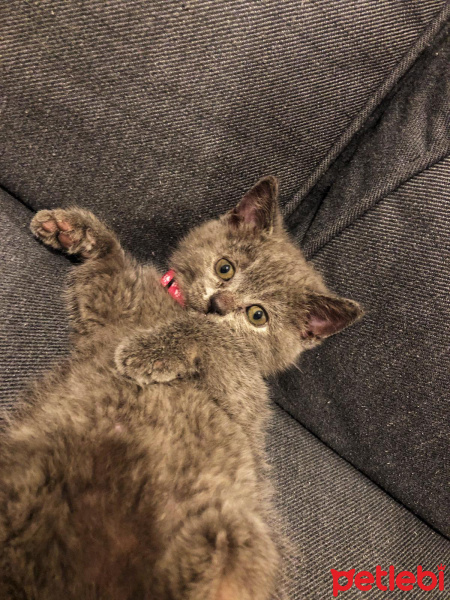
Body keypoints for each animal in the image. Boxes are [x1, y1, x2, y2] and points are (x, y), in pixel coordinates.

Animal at [0, 178, 360, 600]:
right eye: (225, 268)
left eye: (258, 315)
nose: (219, 303)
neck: (173, 310)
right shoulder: (110, 306)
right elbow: (110, 264)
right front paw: (72, 228)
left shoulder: (244, 394)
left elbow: (214, 336)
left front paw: (146, 352)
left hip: (233, 533)